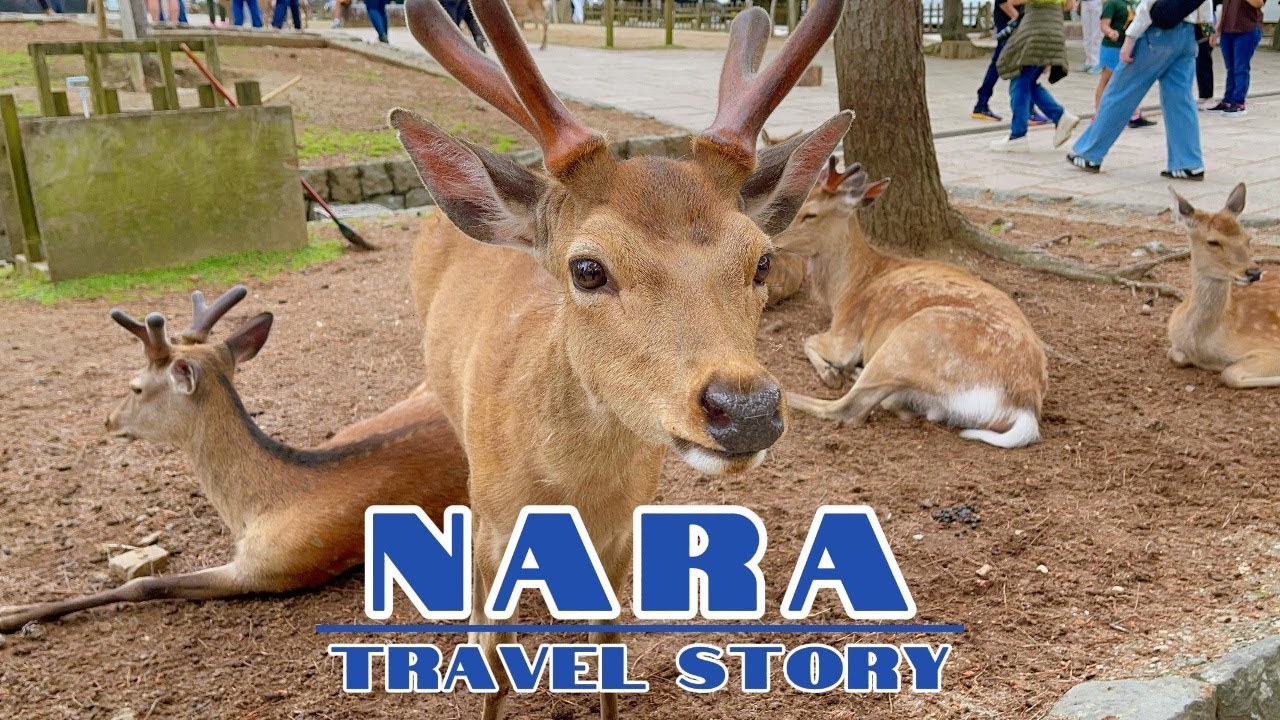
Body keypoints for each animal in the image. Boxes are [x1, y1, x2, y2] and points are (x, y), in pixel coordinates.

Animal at [0, 287, 470, 634]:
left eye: (135, 387)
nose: (108, 421)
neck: (255, 508)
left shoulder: (275, 568)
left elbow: (145, 583)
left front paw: (12, 614)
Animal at [392, 0, 851, 716]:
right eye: (587, 268)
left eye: (762, 260)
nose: (746, 408)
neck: (569, 495)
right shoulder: (491, 533)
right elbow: (493, 662)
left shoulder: (624, 535)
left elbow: (609, 647)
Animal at [776, 159, 1048, 449]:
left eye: (810, 214)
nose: (772, 239)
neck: (845, 290)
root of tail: (1024, 409)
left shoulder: (845, 334)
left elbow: (808, 340)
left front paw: (831, 373)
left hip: (907, 342)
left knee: (848, 409)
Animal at [1167, 184, 1280, 388]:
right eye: (1213, 241)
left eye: (1248, 238)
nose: (1254, 272)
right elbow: (1174, 355)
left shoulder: (1271, 345)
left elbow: (1229, 374)